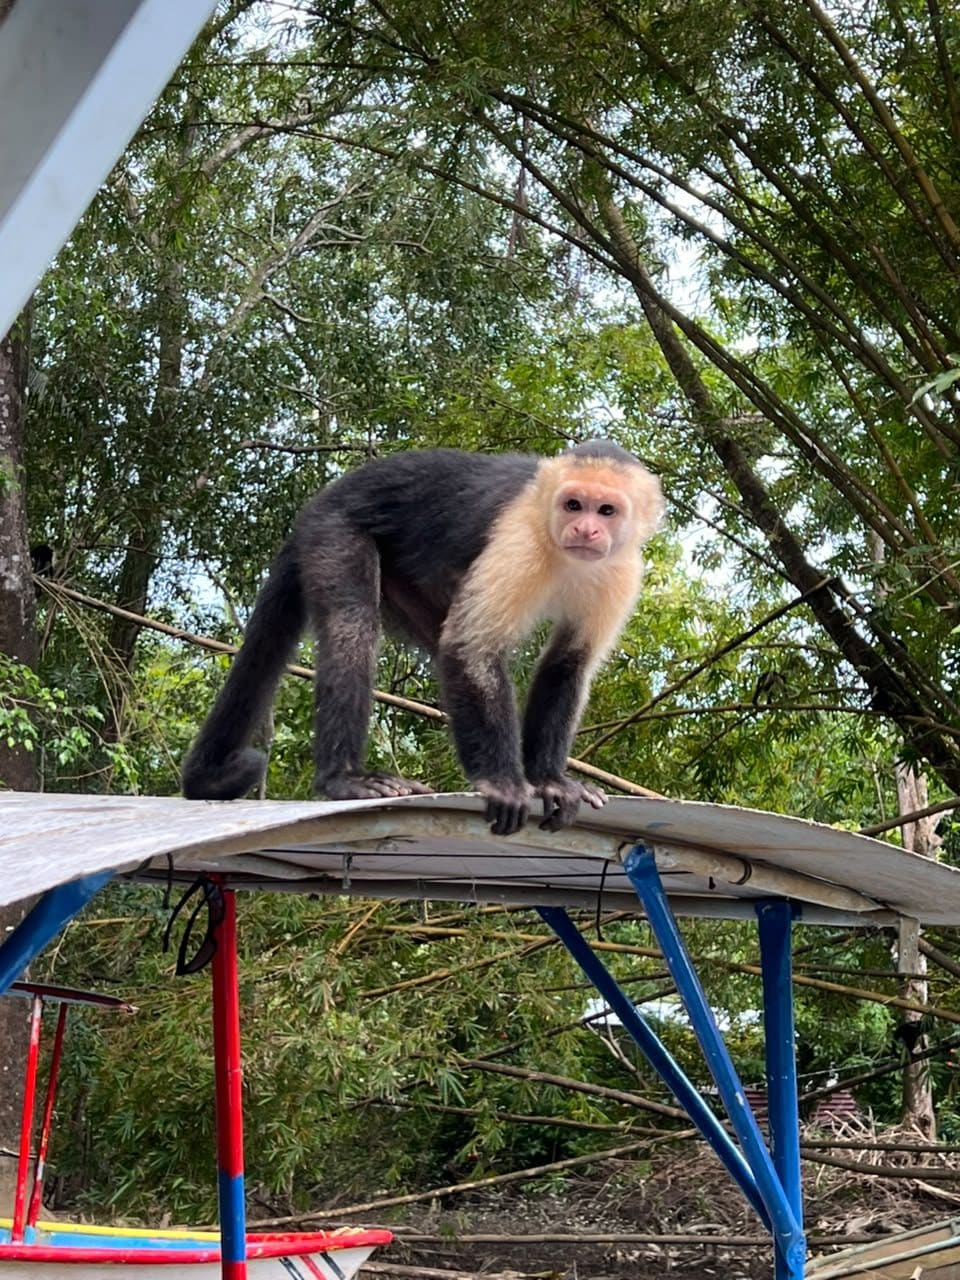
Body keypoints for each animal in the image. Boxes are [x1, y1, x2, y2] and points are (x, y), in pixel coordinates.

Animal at [181, 442, 664, 836]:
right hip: (332, 531)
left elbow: (568, 664)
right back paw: (343, 779)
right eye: (573, 504)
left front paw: (549, 780)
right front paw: (503, 783)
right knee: (353, 626)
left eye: (606, 511)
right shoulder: (520, 539)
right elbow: (471, 648)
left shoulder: (623, 570)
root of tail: (321, 499)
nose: (585, 530)